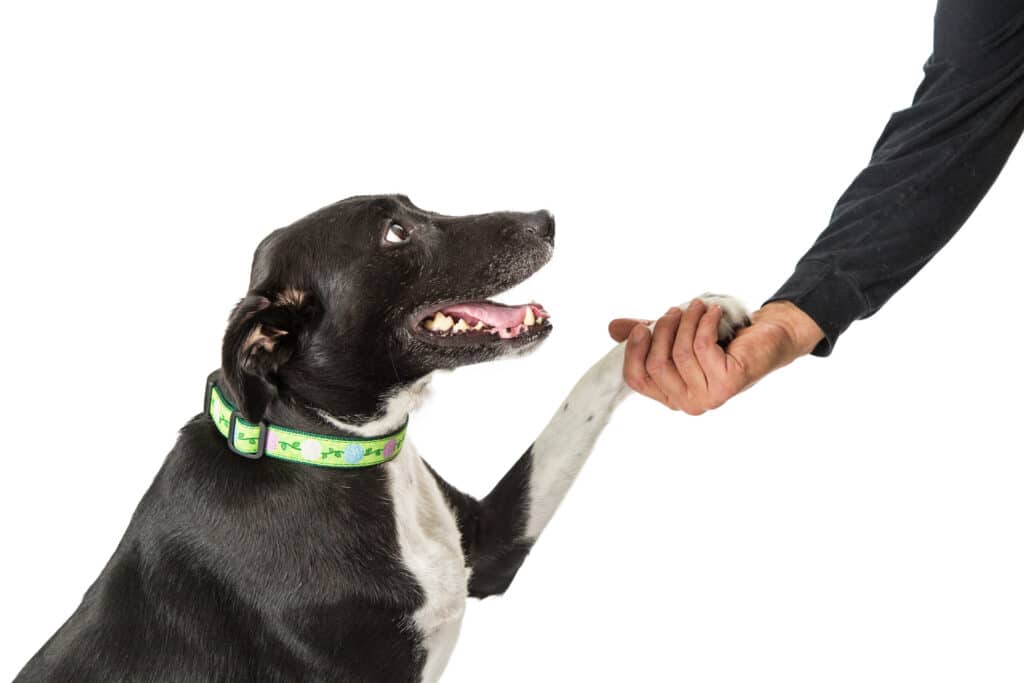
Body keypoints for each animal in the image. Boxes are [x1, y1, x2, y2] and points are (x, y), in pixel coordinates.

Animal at [16, 194, 749, 679]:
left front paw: (693, 321)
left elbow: (587, 393)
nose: (546, 219)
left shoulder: (490, 542)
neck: (343, 452)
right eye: (396, 232)